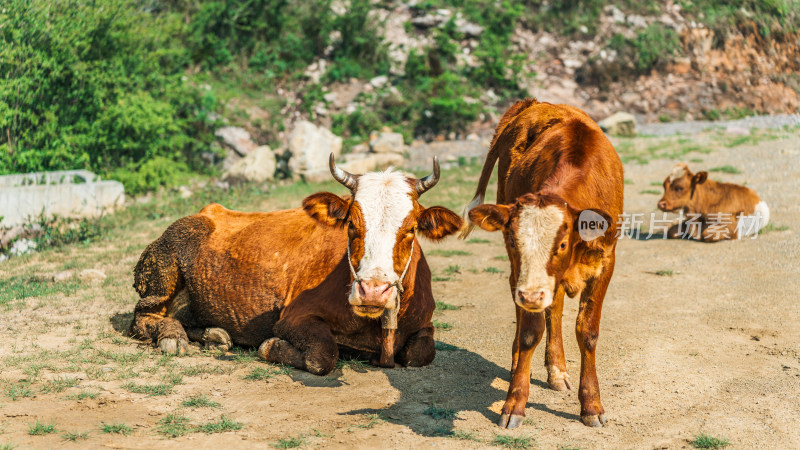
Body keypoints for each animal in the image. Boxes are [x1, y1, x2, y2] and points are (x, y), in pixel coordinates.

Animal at [128, 156, 460, 374]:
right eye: (351, 225)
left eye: (411, 229)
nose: (373, 291)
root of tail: (207, 210)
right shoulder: (293, 318)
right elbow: (324, 355)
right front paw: (270, 348)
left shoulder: (424, 324)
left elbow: (421, 352)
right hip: (166, 261)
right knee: (145, 316)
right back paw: (172, 337)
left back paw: (214, 335)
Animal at [460, 98, 620, 428]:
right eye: (513, 240)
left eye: (561, 244)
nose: (531, 296)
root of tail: (536, 103)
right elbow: (530, 332)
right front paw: (515, 402)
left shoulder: (606, 262)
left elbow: (587, 332)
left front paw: (591, 405)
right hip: (519, 275)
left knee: (554, 310)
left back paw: (558, 371)